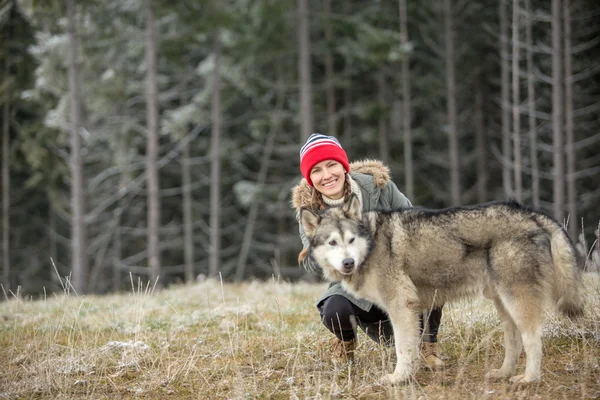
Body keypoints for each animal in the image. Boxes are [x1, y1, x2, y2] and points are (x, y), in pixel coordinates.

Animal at [302, 194, 584, 384]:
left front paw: (398, 378)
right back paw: (503, 373)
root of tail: (531, 214)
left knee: (533, 338)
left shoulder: (401, 307)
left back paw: (529, 378)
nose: (348, 263)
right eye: (332, 243)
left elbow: (403, 348)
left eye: (351, 240)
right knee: (513, 341)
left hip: (516, 300)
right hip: (503, 304)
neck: (372, 244)